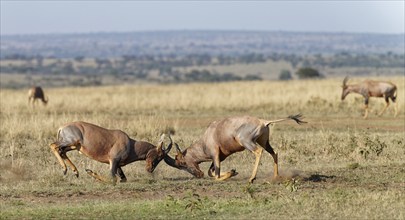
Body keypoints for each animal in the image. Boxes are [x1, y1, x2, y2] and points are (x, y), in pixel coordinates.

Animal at [163, 114, 304, 183]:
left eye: (182, 163)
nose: (198, 175)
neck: (208, 135)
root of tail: (263, 121)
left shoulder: (215, 155)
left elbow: (215, 176)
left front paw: (231, 173)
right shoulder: (221, 157)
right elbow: (211, 172)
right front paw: (233, 171)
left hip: (247, 142)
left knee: (258, 152)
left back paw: (252, 178)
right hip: (264, 142)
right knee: (274, 153)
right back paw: (275, 176)